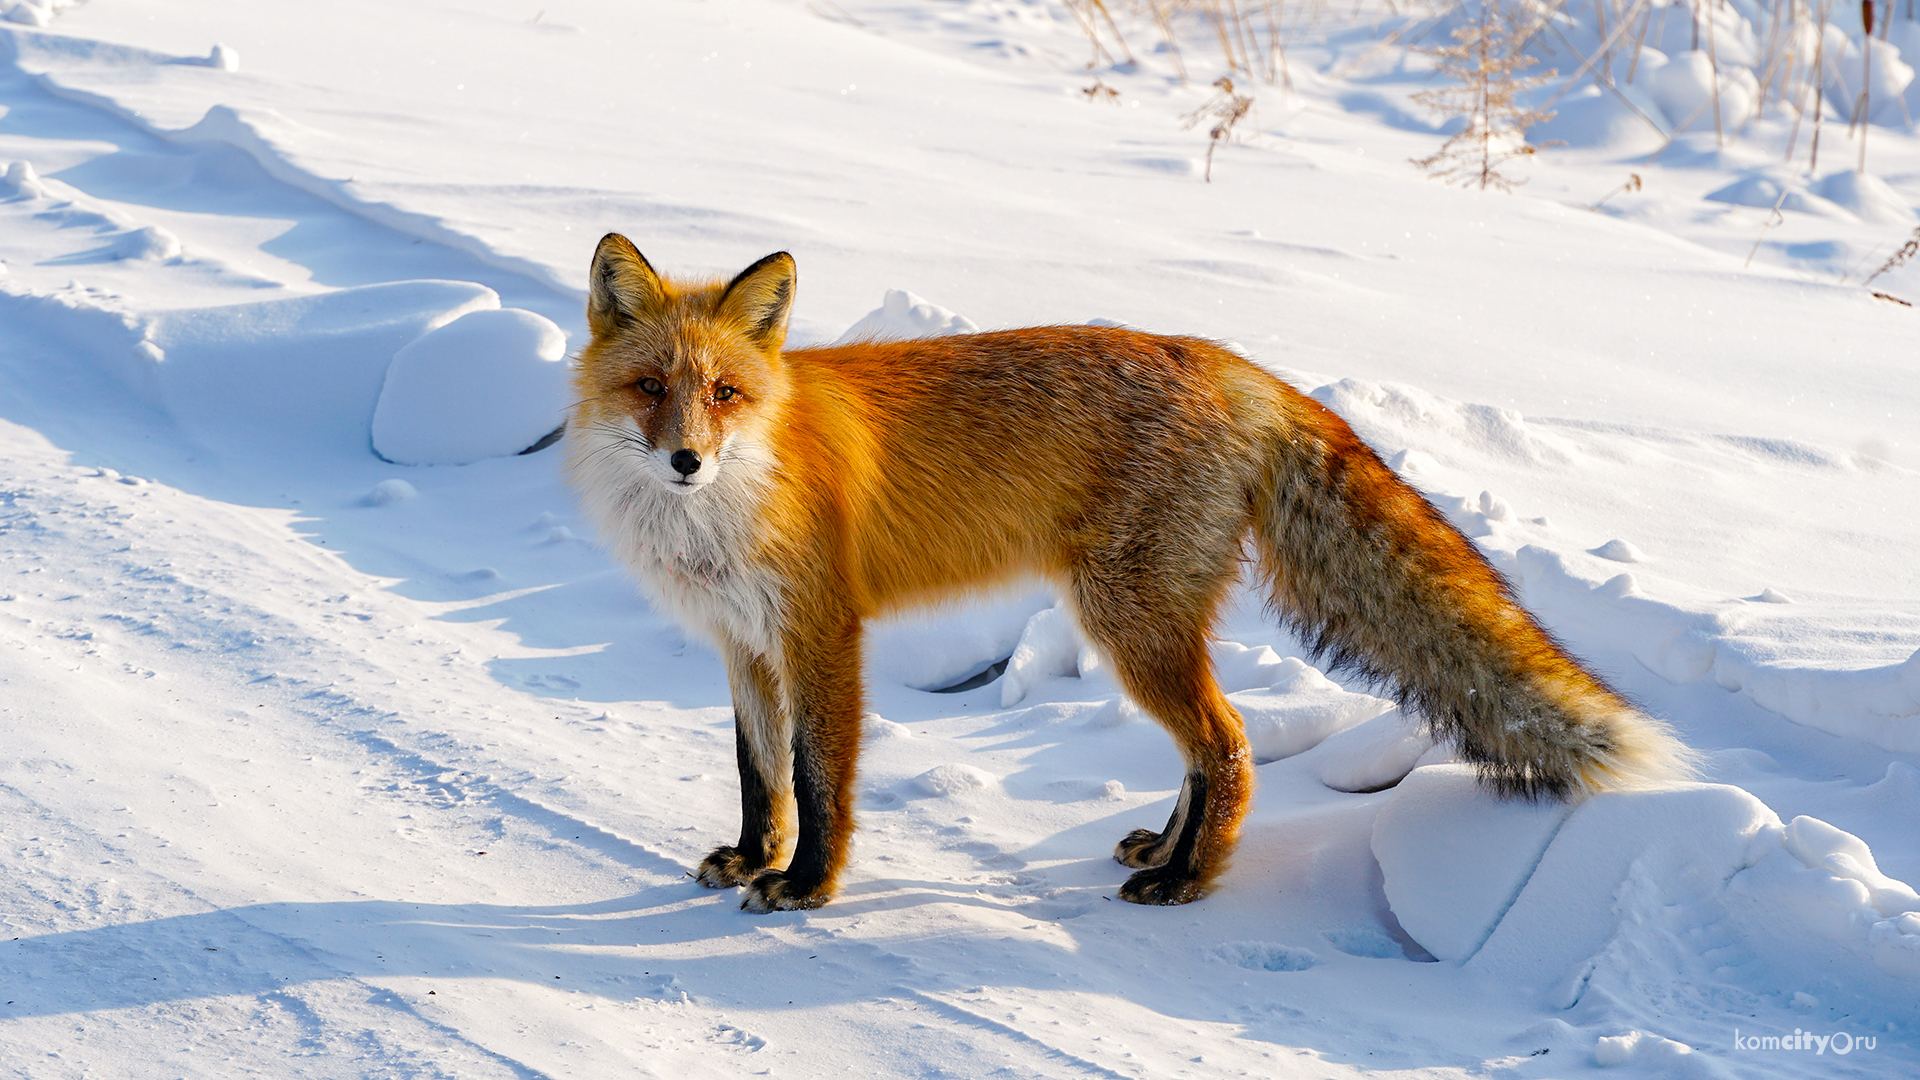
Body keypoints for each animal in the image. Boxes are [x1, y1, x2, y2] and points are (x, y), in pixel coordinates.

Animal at [560, 233, 1689, 907]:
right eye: (652, 388)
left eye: (725, 393)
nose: (685, 460)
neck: (729, 503)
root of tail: (1240, 368)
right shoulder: (743, 642)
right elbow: (759, 773)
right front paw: (754, 858)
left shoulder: (823, 634)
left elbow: (818, 778)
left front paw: (805, 888)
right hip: (1144, 624)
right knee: (1206, 751)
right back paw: (1167, 853)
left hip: (1126, 622)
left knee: (1228, 745)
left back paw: (1190, 882)